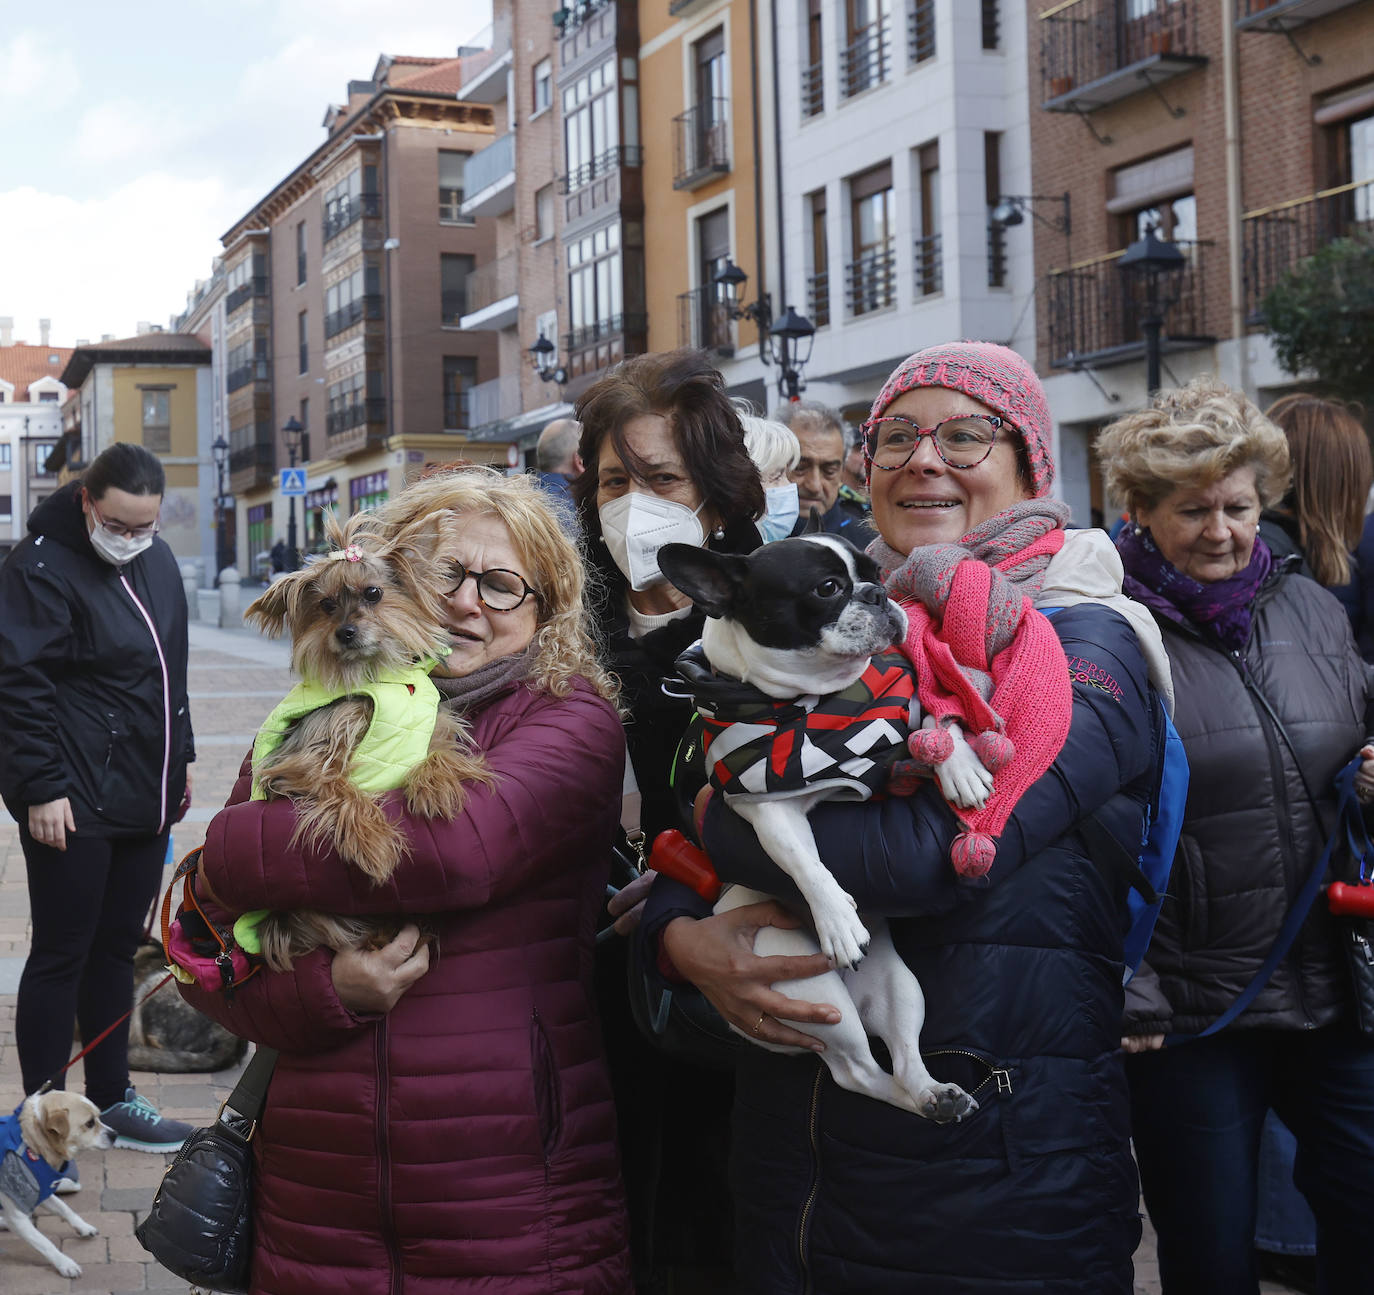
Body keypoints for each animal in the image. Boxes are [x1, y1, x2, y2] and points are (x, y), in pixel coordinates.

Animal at [0, 1093, 112, 1274]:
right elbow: (45, 1243)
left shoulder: (44, 1191)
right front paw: (65, 1263)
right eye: (89, 1123)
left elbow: (65, 1209)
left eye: (99, 1117)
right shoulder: (18, 1217)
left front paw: (83, 1226)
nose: (115, 1134)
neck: (31, 1144)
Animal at [243, 508, 489, 972]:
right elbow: (342, 790)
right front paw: (373, 843)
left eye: (373, 593)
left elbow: (440, 755)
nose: (345, 632)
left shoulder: (435, 728)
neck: (378, 677)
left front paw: (435, 788)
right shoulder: (298, 761)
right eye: (325, 606)